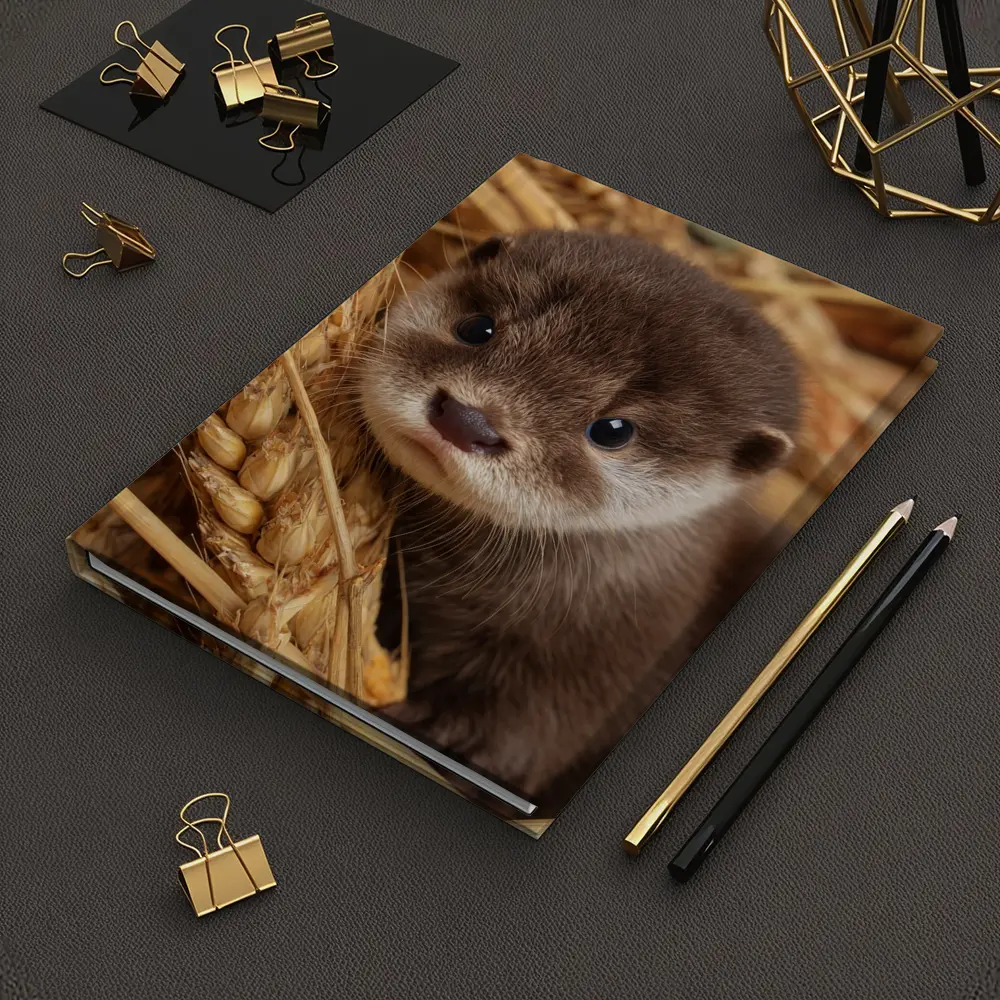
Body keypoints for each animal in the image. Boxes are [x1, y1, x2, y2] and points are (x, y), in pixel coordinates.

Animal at [358, 230, 800, 811]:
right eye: (478, 328)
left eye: (612, 430)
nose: (467, 419)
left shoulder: (598, 671)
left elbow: (521, 736)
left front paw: (430, 727)